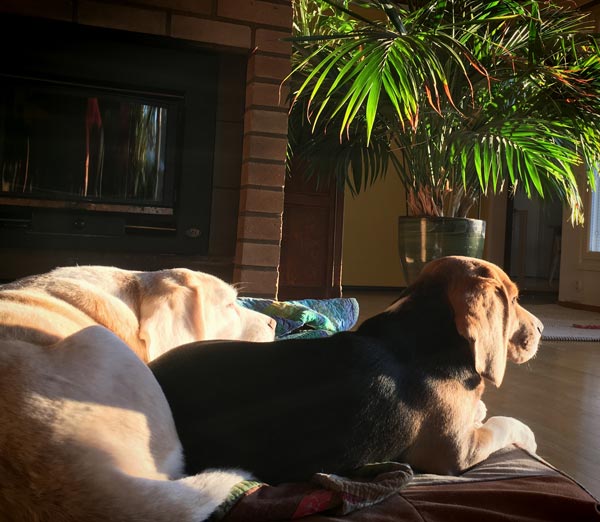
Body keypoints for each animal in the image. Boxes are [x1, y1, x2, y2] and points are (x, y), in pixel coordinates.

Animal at [151, 256, 544, 484]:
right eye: (514, 299)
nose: (541, 329)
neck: (424, 331)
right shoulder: (456, 453)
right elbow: (503, 425)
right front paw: (524, 433)